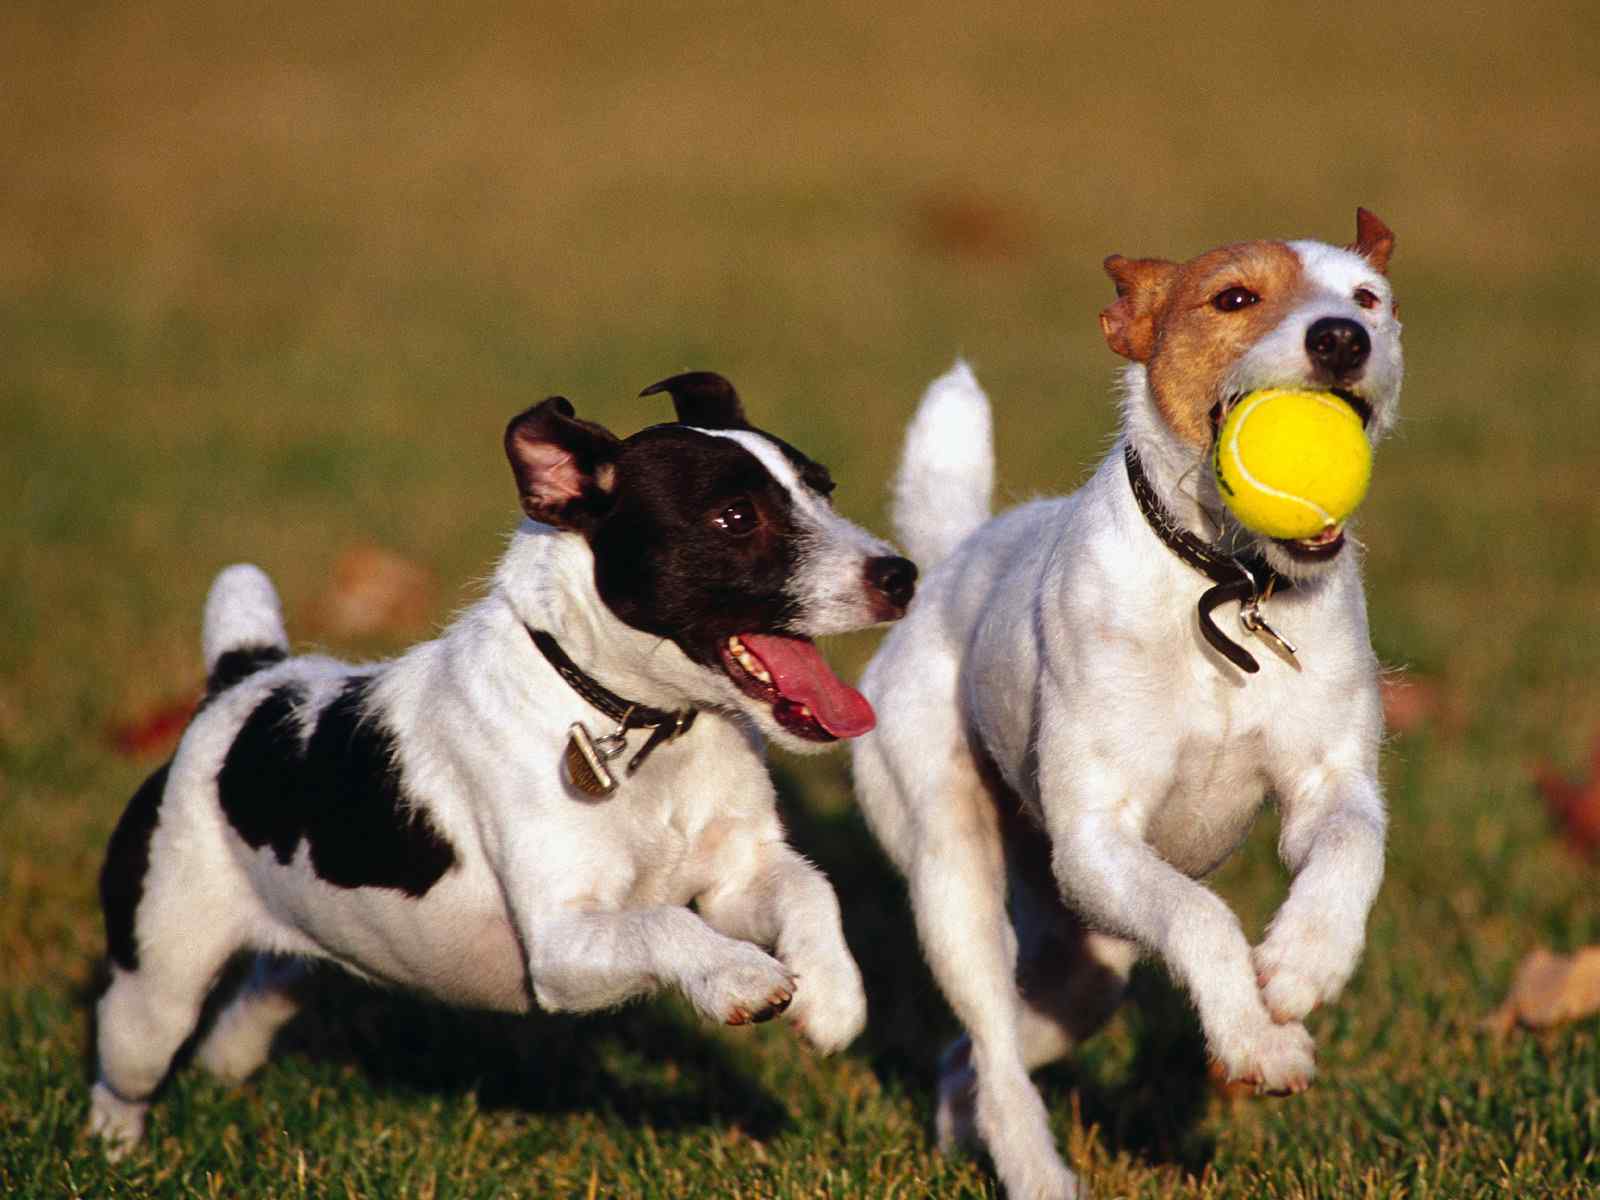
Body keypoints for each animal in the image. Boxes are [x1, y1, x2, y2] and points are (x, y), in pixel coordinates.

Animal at [90, 374, 915, 1158]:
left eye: (823, 488)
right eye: (736, 517)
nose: (901, 575)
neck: (636, 721)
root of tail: (243, 679)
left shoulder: (735, 882)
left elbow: (811, 890)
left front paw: (834, 997)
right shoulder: (562, 945)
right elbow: (664, 922)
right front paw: (741, 976)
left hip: (309, 940)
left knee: (261, 990)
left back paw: (226, 1065)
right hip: (159, 980)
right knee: (126, 1063)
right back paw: (113, 1148)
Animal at [851, 211, 1401, 1196]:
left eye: (1369, 298)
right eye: (1233, 297)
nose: (1342, 337)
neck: (1225, 583)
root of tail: (952, 559)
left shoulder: (1327, 783)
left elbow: (1348, 848)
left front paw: (1305, 963)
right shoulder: (1097, 839)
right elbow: (1201, 918)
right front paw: (1257, 1039)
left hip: (1084, 959)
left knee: (979, 1056)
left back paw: (961, 1126)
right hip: (955, 874)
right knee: (992, 1044)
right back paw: (1036, 1172)